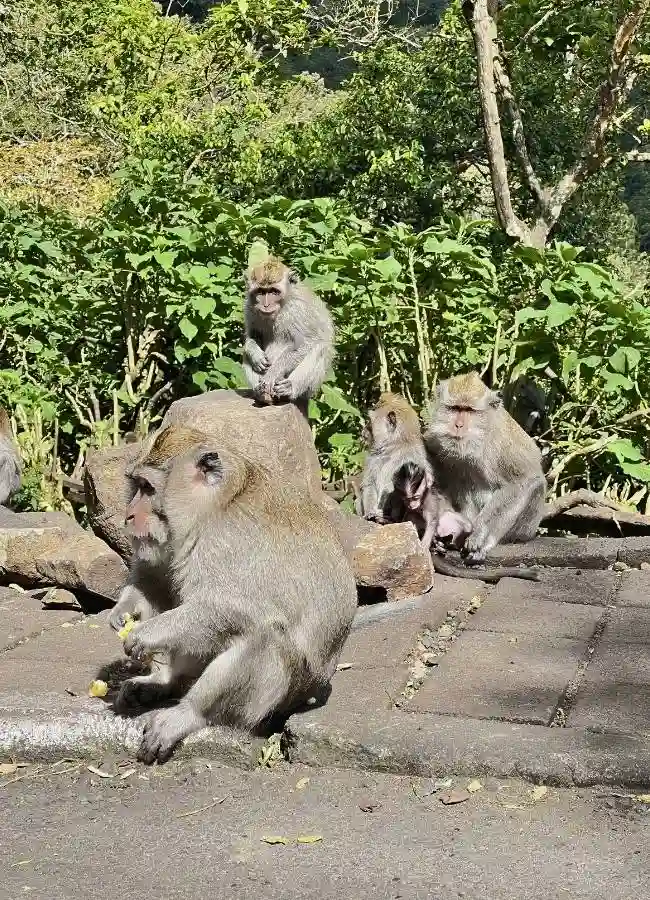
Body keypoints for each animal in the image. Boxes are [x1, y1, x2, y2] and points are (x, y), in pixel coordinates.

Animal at [117, 425, 357, 764]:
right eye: (136, 486)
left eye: (148, 489)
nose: (128, 515)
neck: (217, 505)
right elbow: (159, 574)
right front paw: (127, 605)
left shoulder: (224, 543)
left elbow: (231, 608)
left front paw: (148, 633)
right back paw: (165, 682)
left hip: (277, 698)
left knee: (262, 633)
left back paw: (189, 714)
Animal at [243, 256, 335, 415]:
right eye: (260, 292)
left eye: (274, 291)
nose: (265, 305)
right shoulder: (249, 307)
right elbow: (252, 336)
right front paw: (255, 354)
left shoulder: (298, 309)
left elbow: (307, 342)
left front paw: (272, 374)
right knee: (245, 353)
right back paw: (261, 393)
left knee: (319, 347)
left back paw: (289, 388)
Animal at [424, 371, 546, 566]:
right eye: (455, 408)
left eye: (469, 410)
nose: (458, 425)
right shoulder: (435, 440)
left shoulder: (502, 444)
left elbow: (523, 481)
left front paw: (480, 535)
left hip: (526, 528)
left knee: (535, 487)